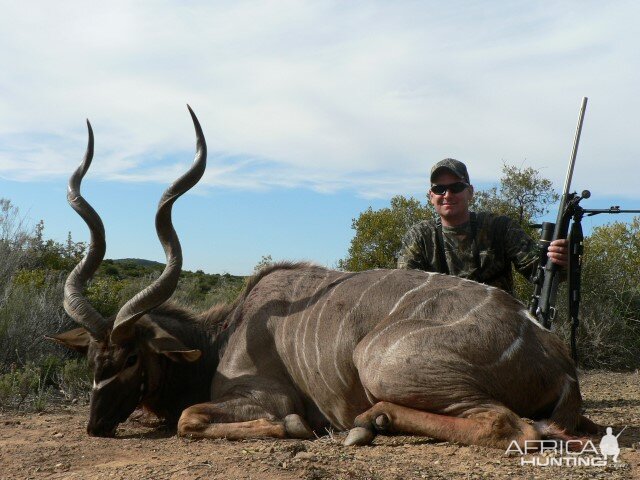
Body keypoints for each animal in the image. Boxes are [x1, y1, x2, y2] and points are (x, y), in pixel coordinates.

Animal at [50, 108, 600, 450]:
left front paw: (297, 427)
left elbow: (193, 418)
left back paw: (366, 423)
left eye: (130, 358)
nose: (96, 426)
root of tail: (557, 358)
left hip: (383, 362)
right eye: (92, 358)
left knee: (512, 426)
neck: (223, 333)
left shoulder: (265, 397)